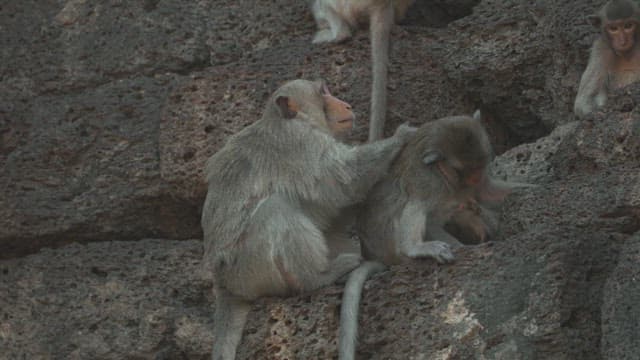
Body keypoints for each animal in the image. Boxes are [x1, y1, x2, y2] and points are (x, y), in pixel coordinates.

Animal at [202, 79, 418, 360]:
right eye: (322, 93)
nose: (345, 104)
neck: (289, 119)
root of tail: (223, 284)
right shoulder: (296, 141)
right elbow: (343, 178)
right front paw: (401, 135)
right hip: (247, 269)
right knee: (276, 208)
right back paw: (317, 277)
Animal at [336, 111, 520, 358]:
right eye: (461, 170)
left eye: (481, 164)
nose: (475, 179)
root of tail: (375, 255)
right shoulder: (429, 180)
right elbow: (427, 212)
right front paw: (464, 247)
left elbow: (489, 191)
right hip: (390, 241)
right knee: (411, 200)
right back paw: (415, 248)